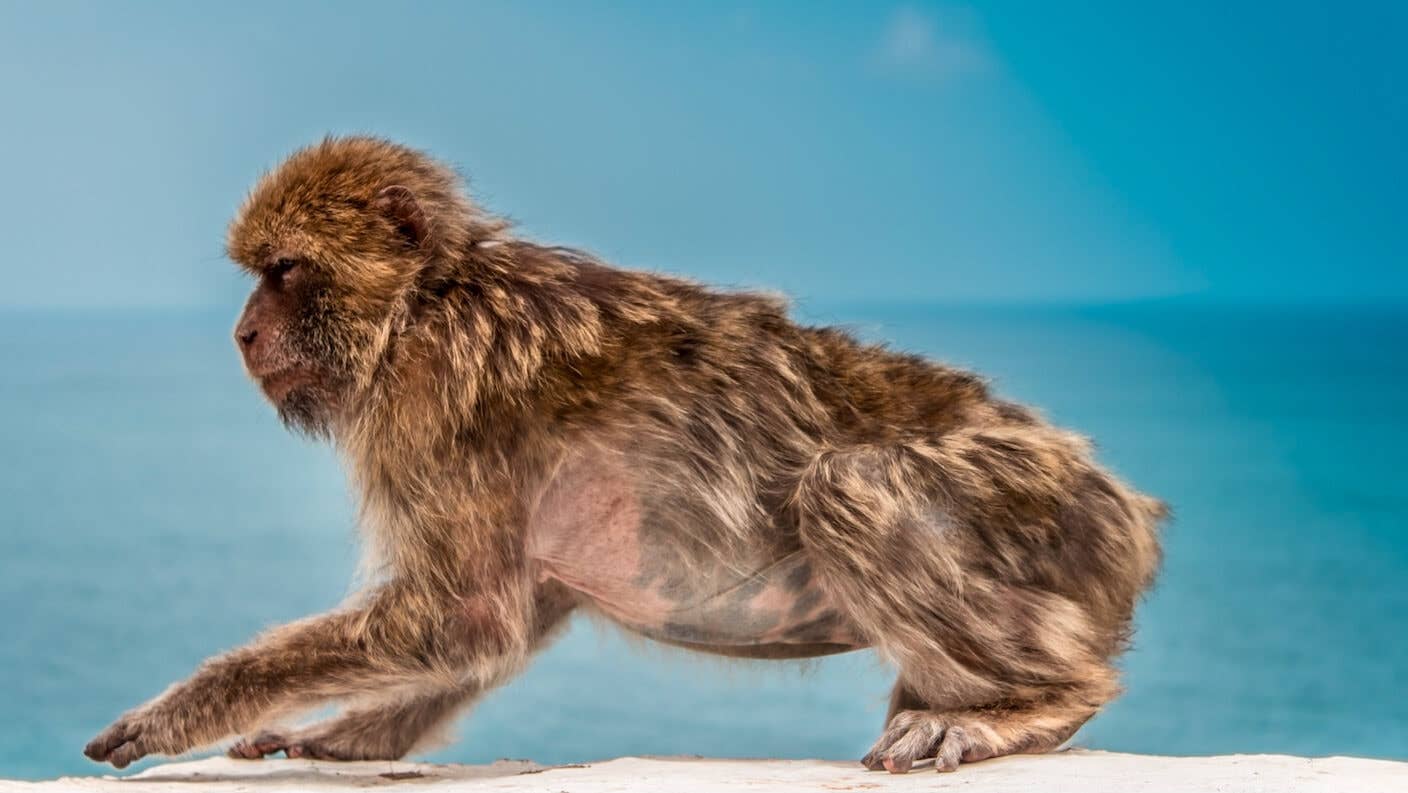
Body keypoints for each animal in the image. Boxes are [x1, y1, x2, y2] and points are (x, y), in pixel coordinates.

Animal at [84, 136, 1164, 774]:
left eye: (284, 271)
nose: (244, 333)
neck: (426, 300)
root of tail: (1128, 510)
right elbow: (499, 620)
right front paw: (349, 735)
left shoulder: (427, 401)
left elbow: (464, 615)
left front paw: (180, 712)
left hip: (1036, 503)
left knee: (846, 481)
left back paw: (1030, 703)